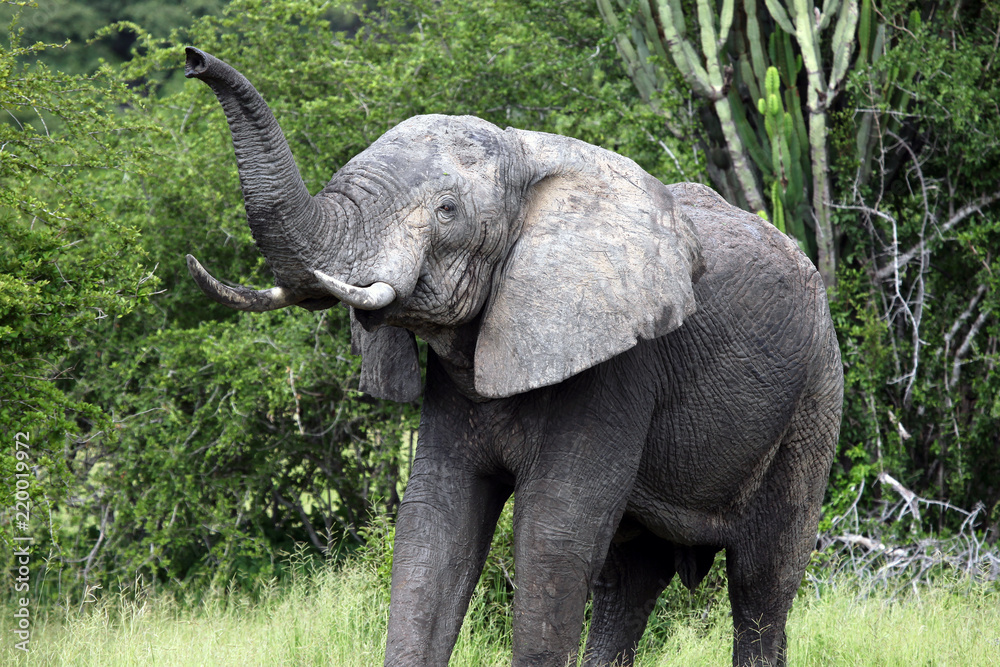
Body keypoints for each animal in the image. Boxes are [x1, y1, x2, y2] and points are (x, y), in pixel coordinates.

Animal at [183, 47, 843, 667]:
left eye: (448, 210)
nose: (192, 60)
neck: (528, 162)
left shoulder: (616, 361)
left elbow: (554, 529)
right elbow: (435, 519)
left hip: (814, 397)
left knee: (761, 583)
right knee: (629, 582)